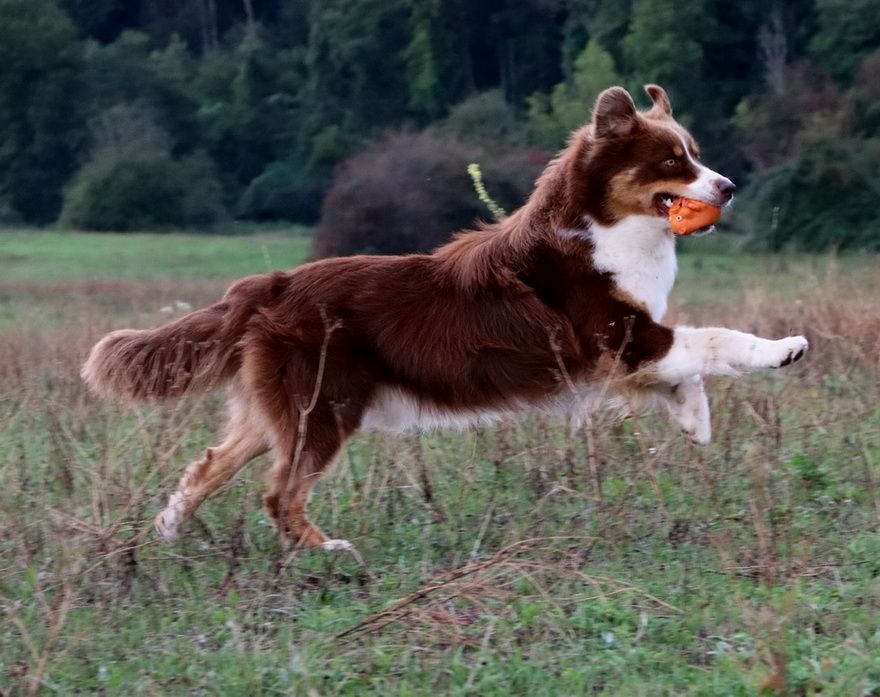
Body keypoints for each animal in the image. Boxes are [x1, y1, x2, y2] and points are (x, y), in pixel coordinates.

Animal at [84, 85, 812, 548]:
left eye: (695, 152)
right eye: (671, 160)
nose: (729, 187)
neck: (602, 228)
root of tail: (269, 283)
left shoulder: (629, 351)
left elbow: (687, 369)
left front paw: (694, 420)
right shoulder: (619, 337)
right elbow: (713, 338)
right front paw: (782, 349)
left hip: (279, 409)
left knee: (210, 463)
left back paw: (166, 531)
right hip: (324, 407)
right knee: (280, 493)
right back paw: (327, 552)